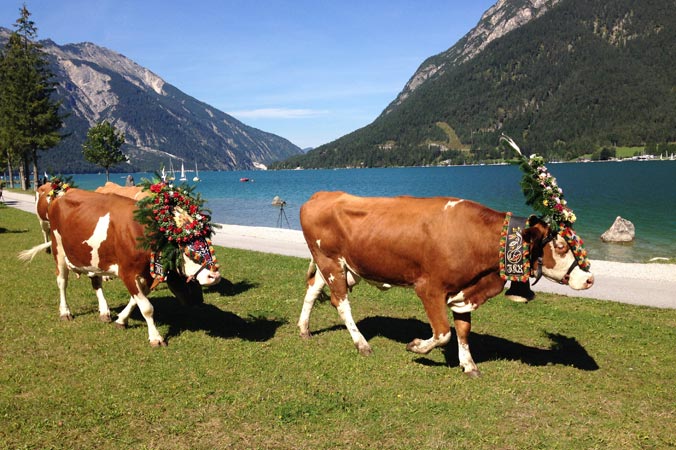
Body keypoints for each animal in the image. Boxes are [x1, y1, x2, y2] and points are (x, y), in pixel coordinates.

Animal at [19, 188, 220, 346]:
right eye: (186, 247)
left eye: (206, 239)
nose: (214, 277)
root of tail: (61, 195)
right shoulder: (127, 272)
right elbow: (147, 307)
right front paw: (155, 337)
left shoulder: (145, 274)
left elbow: (136, 300)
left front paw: (121, 320)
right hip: (58, 249)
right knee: (62, 282)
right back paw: (65, 312)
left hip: (93, 257)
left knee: (96, 282)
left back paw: (104, 311)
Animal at [298, 190, 596, 376]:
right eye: (560, 246)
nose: (589, 278)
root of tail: (320, 195)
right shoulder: (429, 288)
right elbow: (443, 333)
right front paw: (417, 346)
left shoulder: (465, 292)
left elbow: (463, 331)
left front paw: (469, 365)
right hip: (331, 262)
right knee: (341, 302)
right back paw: (362, 344)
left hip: (335, 266)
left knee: (313, 289)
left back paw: (304, 329)